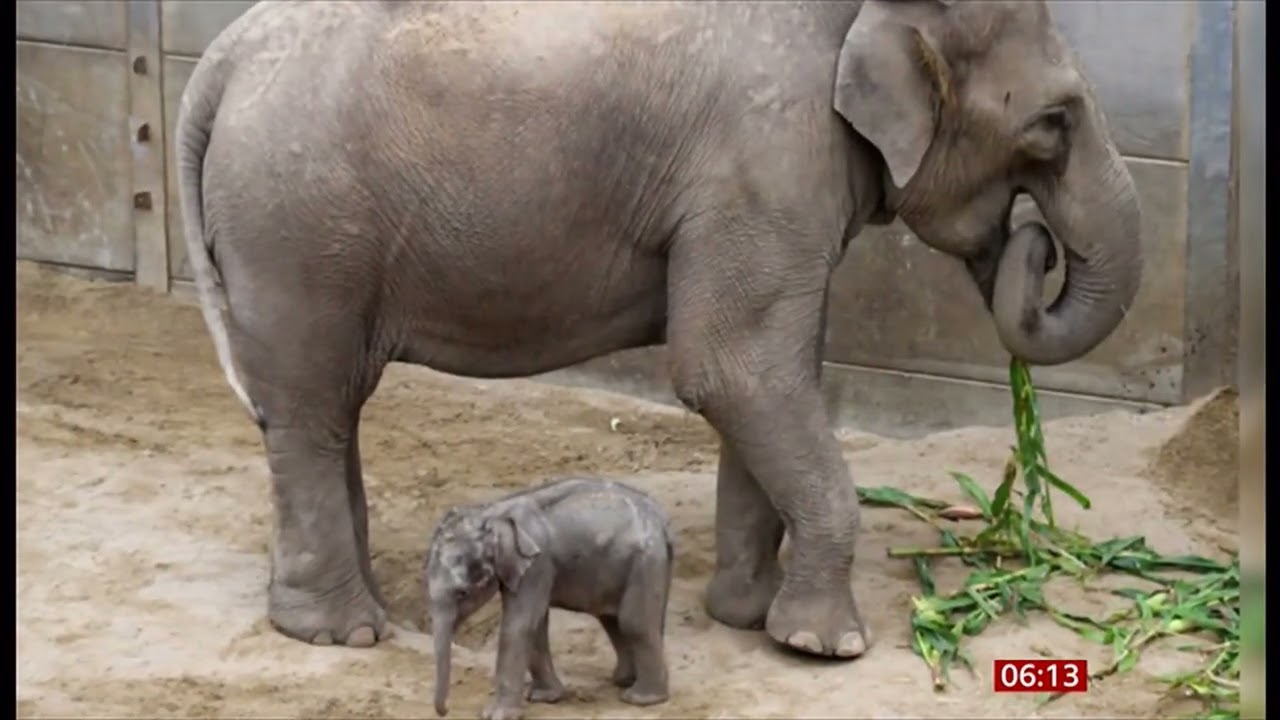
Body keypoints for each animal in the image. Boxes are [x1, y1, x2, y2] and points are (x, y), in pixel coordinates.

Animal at [175, 0, 1143, 660]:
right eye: (1053, 123)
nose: (1030, 240)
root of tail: (220, 58)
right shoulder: (768, 155)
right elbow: (733, 369)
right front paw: (823, 648)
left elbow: (777, 371)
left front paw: (746, 619)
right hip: (298, 223)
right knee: (312, 402)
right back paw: (343, 634)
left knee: (326, 403)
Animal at [424, 477, 674, 720]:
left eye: (462, 593)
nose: (445, 711)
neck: (493, 512)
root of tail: (661, 519)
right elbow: (536, 624)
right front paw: (543, 698)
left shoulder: (538, 564)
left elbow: (519, 624)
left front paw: (496, 715)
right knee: (612, 619)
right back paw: (624, 681)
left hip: (645, 561)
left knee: (633, 623)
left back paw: (640, 699)